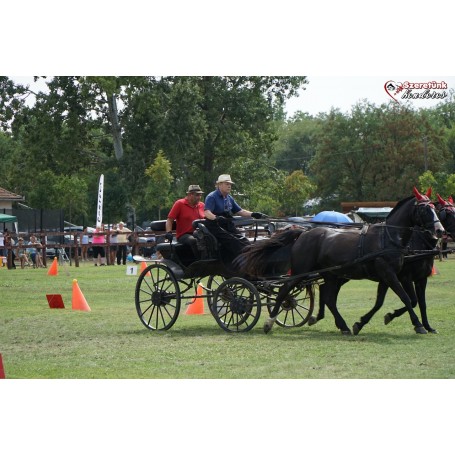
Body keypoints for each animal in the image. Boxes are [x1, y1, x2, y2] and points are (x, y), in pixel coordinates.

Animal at [239, 188, 446, 334]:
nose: (440, 231)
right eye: (424, 209)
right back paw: (269, 322)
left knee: (328, 297)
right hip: (300, 271)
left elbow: (386, 302)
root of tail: (303, 233)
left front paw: (362, 323)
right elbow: (406, 298)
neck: (388, 237)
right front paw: (419, 325)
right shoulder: (390, 275)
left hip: (331, 274)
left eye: (435, 208)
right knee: (284, 290)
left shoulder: (388, 276)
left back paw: (343, 326)